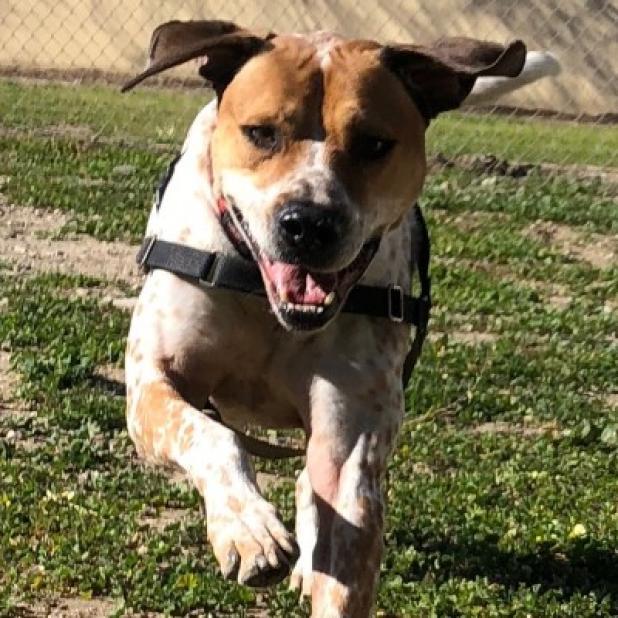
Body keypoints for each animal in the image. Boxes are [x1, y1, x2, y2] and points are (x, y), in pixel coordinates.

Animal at [122, 21, 548, 612]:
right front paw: (247, 529)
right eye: (261, 133)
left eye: (374, 144)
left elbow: (341, 549)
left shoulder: (350, 435)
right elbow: (210, 435)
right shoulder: (151, 385)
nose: (309, 223)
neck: (267, 303)